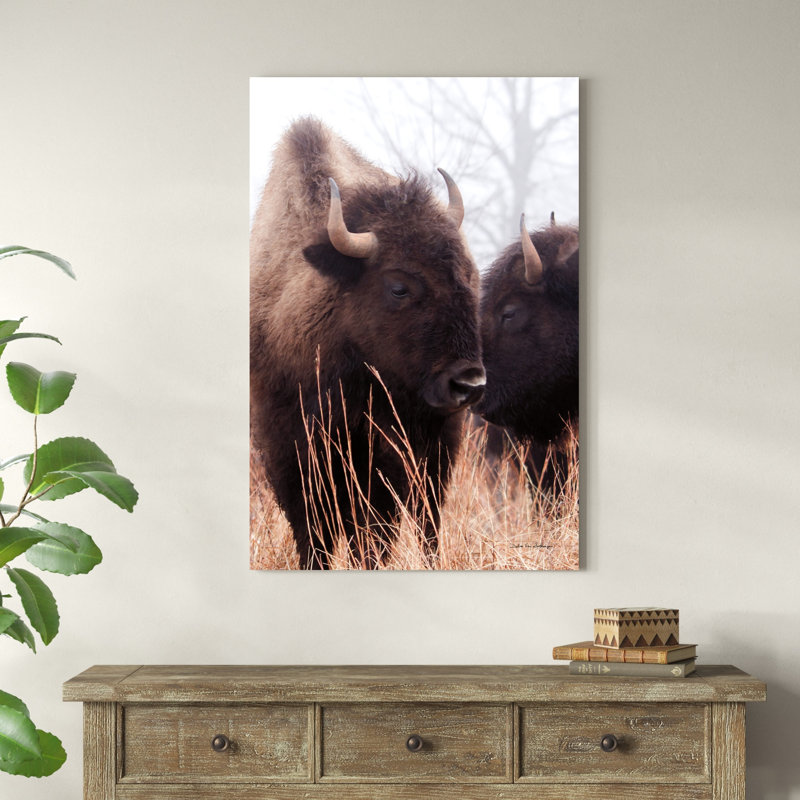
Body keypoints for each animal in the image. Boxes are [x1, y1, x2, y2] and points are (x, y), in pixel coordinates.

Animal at [250, 117, 485, 568]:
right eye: (398, 287)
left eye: (470, 277)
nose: (468, 383)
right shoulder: (287, 449)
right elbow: (314, 532)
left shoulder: (388, 457)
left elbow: (374, 532)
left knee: (426, 523)